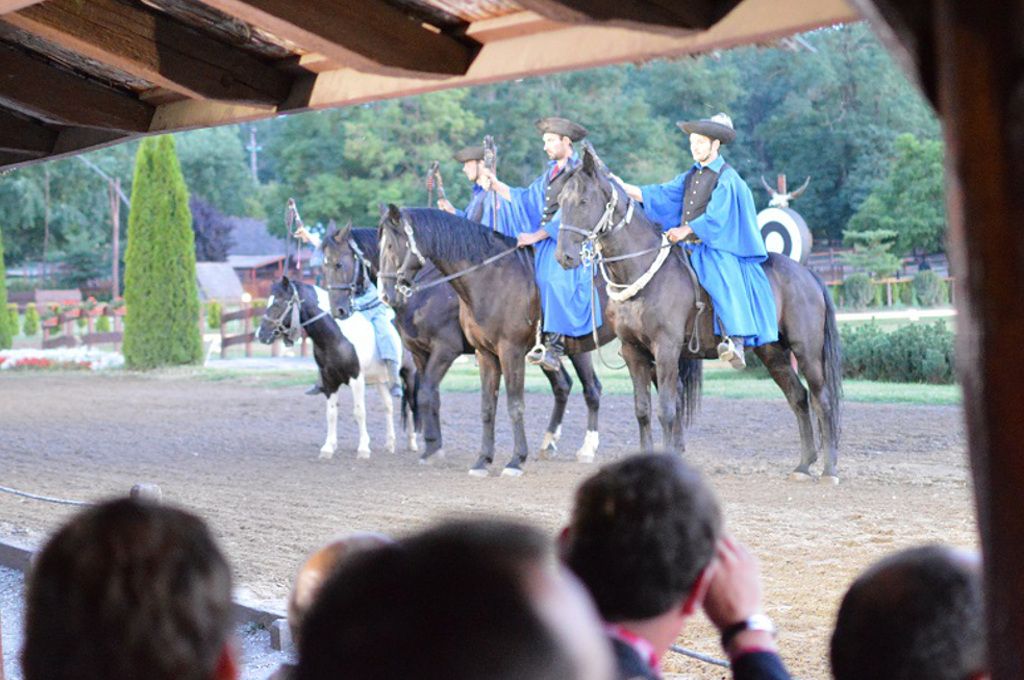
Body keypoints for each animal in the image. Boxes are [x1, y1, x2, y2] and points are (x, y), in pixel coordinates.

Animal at [256, 274, 415, 456]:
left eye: (278, 302)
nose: (260, 335)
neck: (337, 338)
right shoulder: (329, 380)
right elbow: (331, 413)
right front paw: (328, 447)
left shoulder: (356, 379)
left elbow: (359, 411)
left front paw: (363, 448)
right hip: (380, 379)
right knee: (388, 406)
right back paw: (390, 444)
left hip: (410, 374)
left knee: (411, 405)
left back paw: (413, 443)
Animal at [557, 146, 843, 481]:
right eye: (560, 201)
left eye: (584, 201)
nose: (564, 256)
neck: (643, 274)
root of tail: (808, 274)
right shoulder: (633, 352)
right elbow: (642, 410)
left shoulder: (666, 350)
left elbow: (667, 409)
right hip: (773, 352)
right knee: (798, 397)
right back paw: (803, 465)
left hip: (807, 351)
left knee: (822, 400)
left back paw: (829, 469)